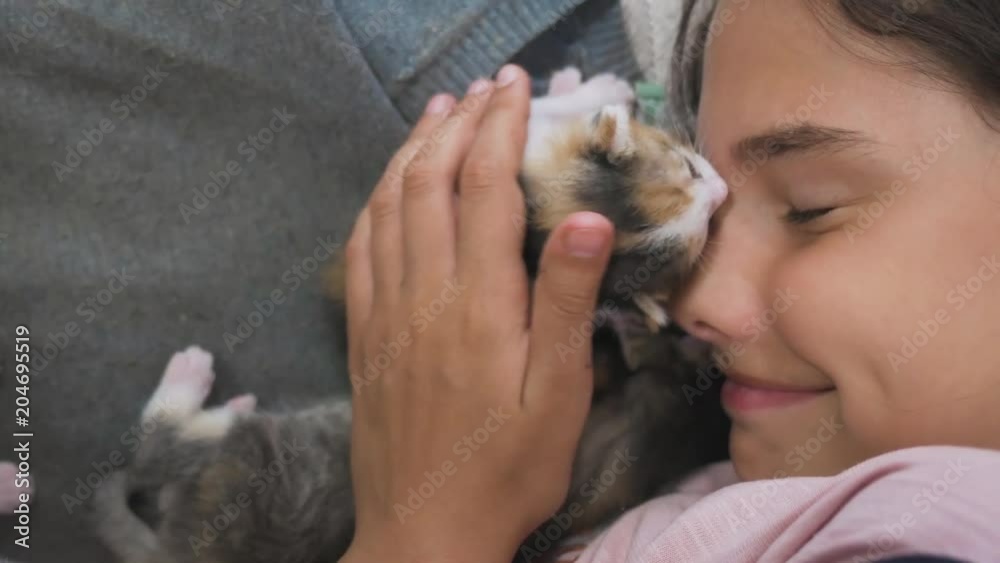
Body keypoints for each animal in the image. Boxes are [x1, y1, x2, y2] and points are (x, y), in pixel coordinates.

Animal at [92, 68, 731, 563]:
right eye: (689, 169)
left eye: (700, 233)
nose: (723, 192)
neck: (537, 242)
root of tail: (182, 548)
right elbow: (532, 106)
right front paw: (588, 86)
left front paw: (585, 87)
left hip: (267, 456)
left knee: (163, 445)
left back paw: (193, 382)